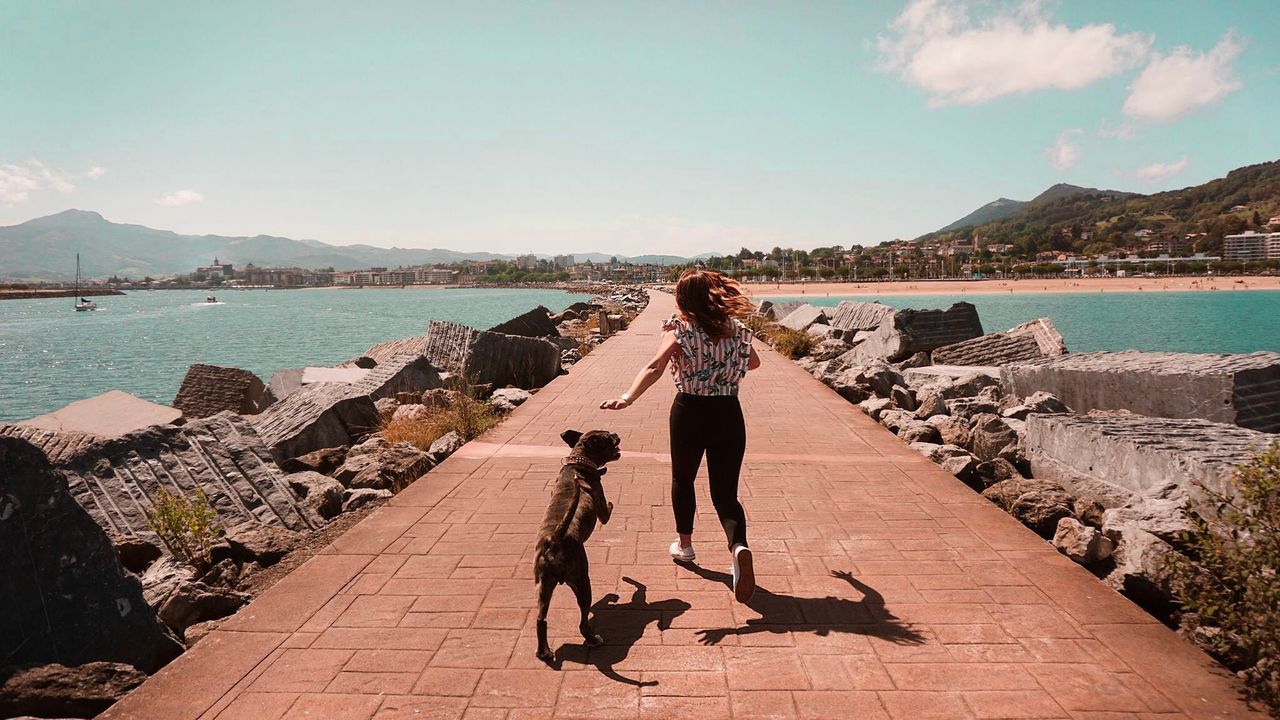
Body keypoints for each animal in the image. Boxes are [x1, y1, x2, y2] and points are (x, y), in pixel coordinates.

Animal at [535, 425, 619, 661]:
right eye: (608, 437)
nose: (617, 435)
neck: (579, 462)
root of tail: (555, 541)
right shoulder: (602, 510)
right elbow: (607, 509)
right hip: (582, 580)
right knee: (582, 621)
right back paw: (593, 639)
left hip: (544, 586)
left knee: (541, 619)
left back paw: (544, 652)